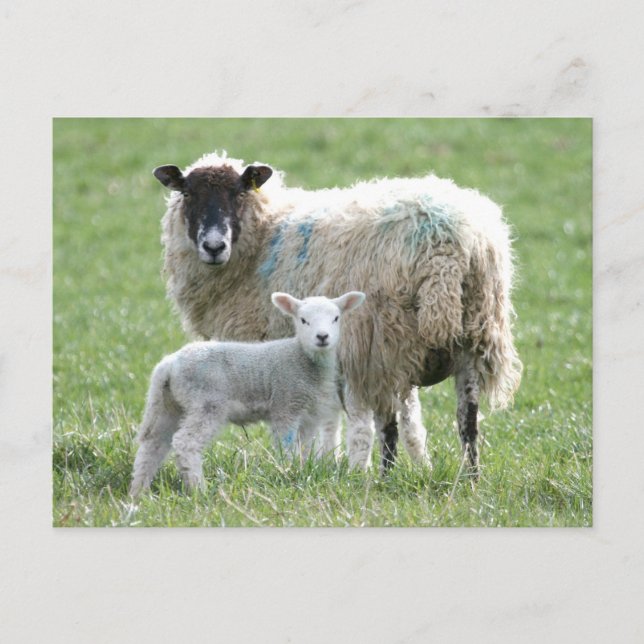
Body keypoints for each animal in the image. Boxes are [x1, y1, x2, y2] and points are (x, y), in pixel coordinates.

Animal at [129, 290, 365, 495]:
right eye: (303, 320)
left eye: (336, 318)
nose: (322, 337)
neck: (303, 358)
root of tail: (169, 364)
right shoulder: (285, 404)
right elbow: (286, 446)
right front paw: (288, 472)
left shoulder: (309, 415)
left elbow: (306, 448)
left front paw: (304, 470)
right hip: (206, 402)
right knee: (185, 442)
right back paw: (199, 490)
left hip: (169, 404)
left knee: (153, 444)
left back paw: (138, 492)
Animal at [154, 151, 522, 476]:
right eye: (187, 193)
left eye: (239, 191)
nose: (214, 246)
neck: (264, 235)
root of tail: (446, 245)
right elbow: (404, 418)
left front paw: (335, 465)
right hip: (471, 337)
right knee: (468, 420)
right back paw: (470, 478)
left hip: (383, 342)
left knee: (387, 425)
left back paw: (385, 478)